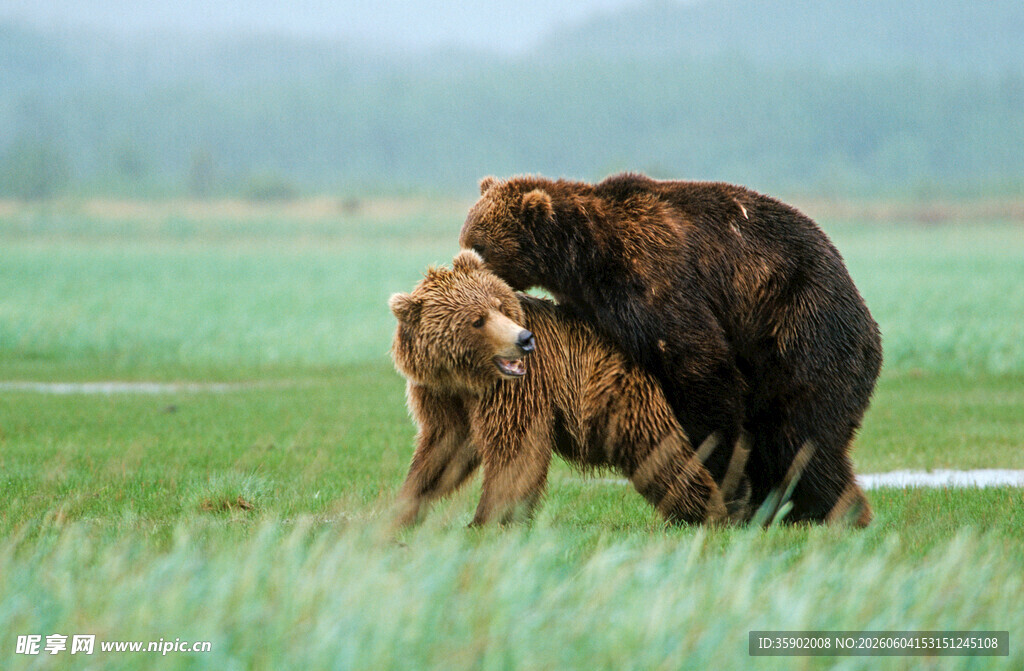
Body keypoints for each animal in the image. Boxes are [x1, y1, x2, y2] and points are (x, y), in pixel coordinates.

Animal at [389, 250, 751, 528]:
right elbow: (443, 449)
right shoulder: (440, 392)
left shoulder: (519, 387)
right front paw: (402, 512)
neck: (469, 377)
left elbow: (516, 447)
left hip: (628, 392)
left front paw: (488, 520)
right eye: (477, 319)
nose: (524, 339)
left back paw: (710, 513)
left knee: (663, 452)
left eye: (500, 306)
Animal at [459, 173, 880, 527]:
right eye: (466, 237)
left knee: (799, 434)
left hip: (801, 330)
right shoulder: (594, 304)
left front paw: (724, 480)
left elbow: (701, 368)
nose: (461, 264)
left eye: (480, 244)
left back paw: (832, 510)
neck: (584, 259)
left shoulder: (654, 278)